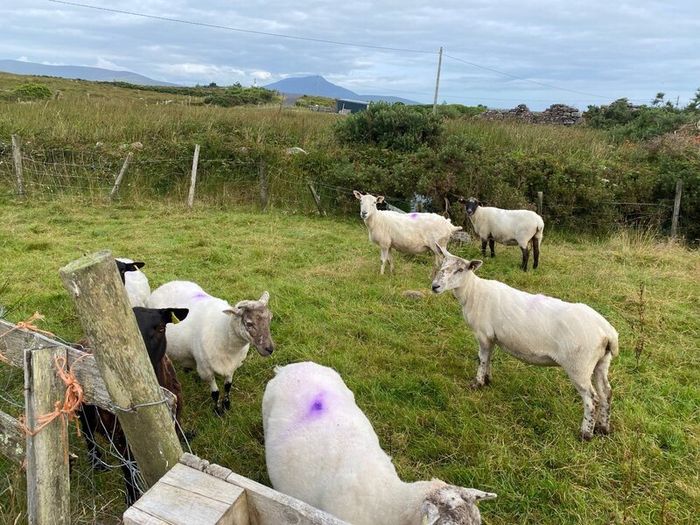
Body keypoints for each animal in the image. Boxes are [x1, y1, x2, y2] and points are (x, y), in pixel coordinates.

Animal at [77, 306, 189, 506]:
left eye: (161, 328)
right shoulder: (122, 439)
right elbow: (128, 470)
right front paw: (131, 498)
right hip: (83, 407)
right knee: (88, 431)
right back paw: (96, 461)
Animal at [146, 281, 274, 415]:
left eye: (270, 318)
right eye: (249, 323)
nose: (270, 349)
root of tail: (167, 284)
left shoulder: (232, 365)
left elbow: (228, 386)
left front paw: (226, 405)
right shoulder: (206, 370)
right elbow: (215, 393)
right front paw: (217, 411)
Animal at [431, 244, 619, 440]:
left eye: (460, 270)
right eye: (442, 264)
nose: (435, 286)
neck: (473, 292)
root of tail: (608, 333)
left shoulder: (483, 334)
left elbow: (481, 359)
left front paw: (477, 383)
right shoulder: (492, 337)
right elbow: (489, 358)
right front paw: (488, 380)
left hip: (579, 366)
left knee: (592, 399)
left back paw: (586, 434)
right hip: (601, 362)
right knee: (606, 393)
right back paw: (603, 428)